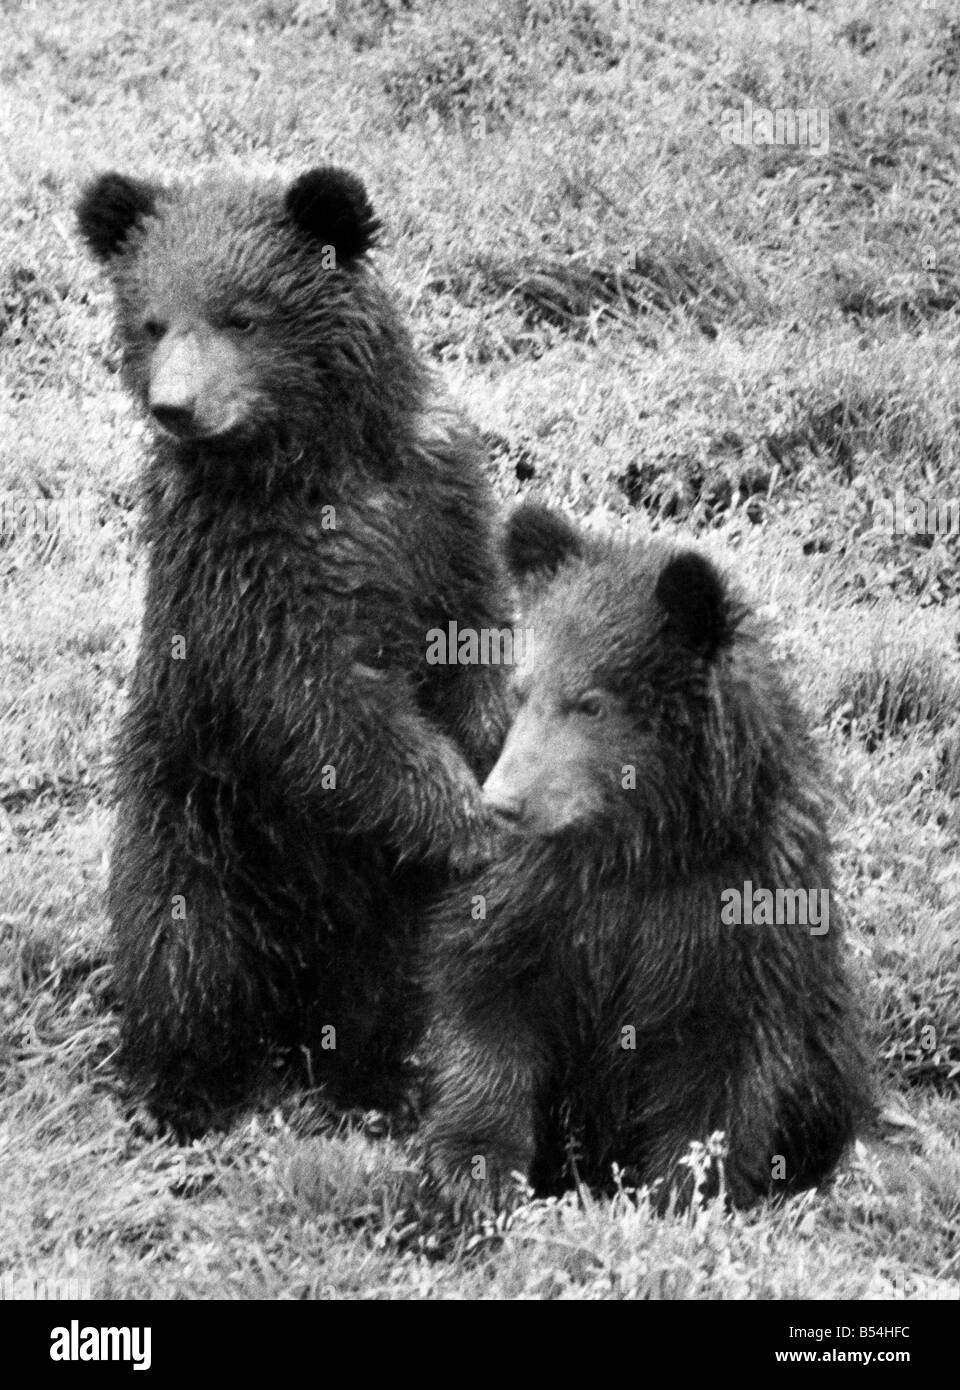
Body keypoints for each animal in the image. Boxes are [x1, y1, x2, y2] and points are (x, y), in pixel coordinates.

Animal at [76, 165, 511, 1134]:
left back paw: (376, 1082)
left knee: (389, 979)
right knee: (184, 953)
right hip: (195, 824)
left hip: (373, 901)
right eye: (151, 320)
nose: (175, 404)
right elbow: (320, 702)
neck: (314, 463)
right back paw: (187, 1091)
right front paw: (465, 818)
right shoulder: (242, 572)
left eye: (242, 315)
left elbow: (476, 646)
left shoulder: (441, 508)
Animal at [422, 503, 871, 1210]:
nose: (501, 802)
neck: (642, 846)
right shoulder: (539, 896)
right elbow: (487, 995)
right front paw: (475, 1169)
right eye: (522, 690)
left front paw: (683, 1191)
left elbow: (718, 1069)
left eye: (591, 702)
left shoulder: (740, 913)